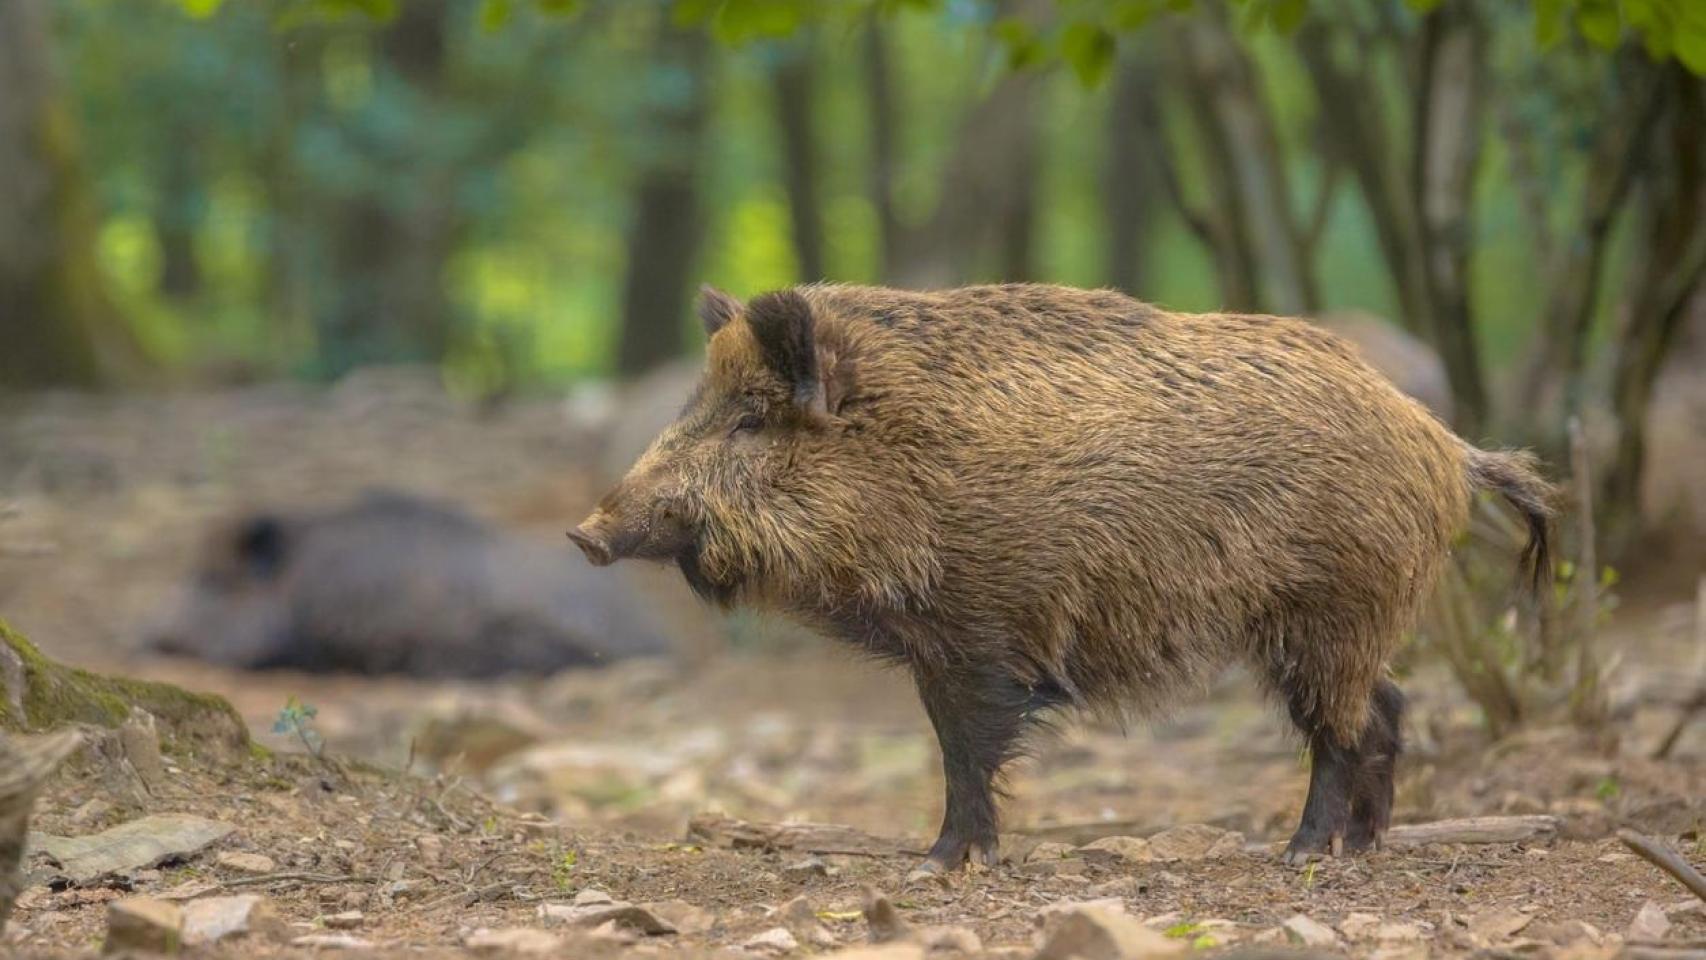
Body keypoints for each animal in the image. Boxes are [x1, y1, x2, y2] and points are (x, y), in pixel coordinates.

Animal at [568, 283, 1553, 872]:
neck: (903, 464)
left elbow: (967, 752)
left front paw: (940, 864)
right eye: (696, 405)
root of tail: (1448, 445)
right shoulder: (941, 644)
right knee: (1385, 707)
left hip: (1330, 612)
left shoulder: (979, 636)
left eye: (749, 420)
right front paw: (947, 859)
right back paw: (1360, 847)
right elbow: (953, 751)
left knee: (1342, 730)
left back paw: (1302, 854)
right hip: (1333, 626)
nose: (584, 533)